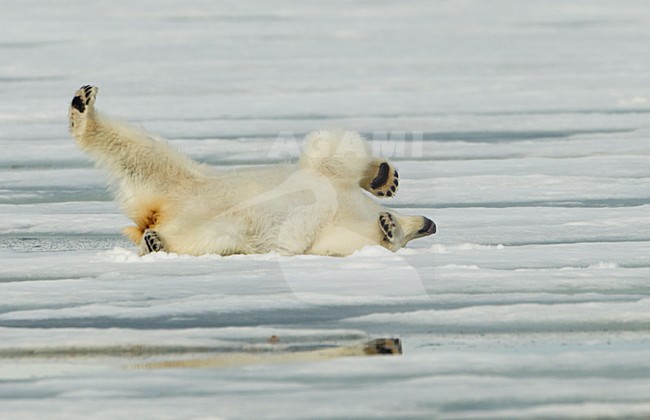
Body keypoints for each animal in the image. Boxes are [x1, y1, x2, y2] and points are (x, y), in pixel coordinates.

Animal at [68, 85, 436, 257]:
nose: (430, 223)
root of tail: (155, 213)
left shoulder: (324, 234)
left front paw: (388, 225)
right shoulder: (326, 180)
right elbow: (333, 150)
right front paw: (383, 180)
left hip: (196, 210)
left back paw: (156, 240)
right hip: (181, 179)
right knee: (139, 149)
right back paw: (83, 104)